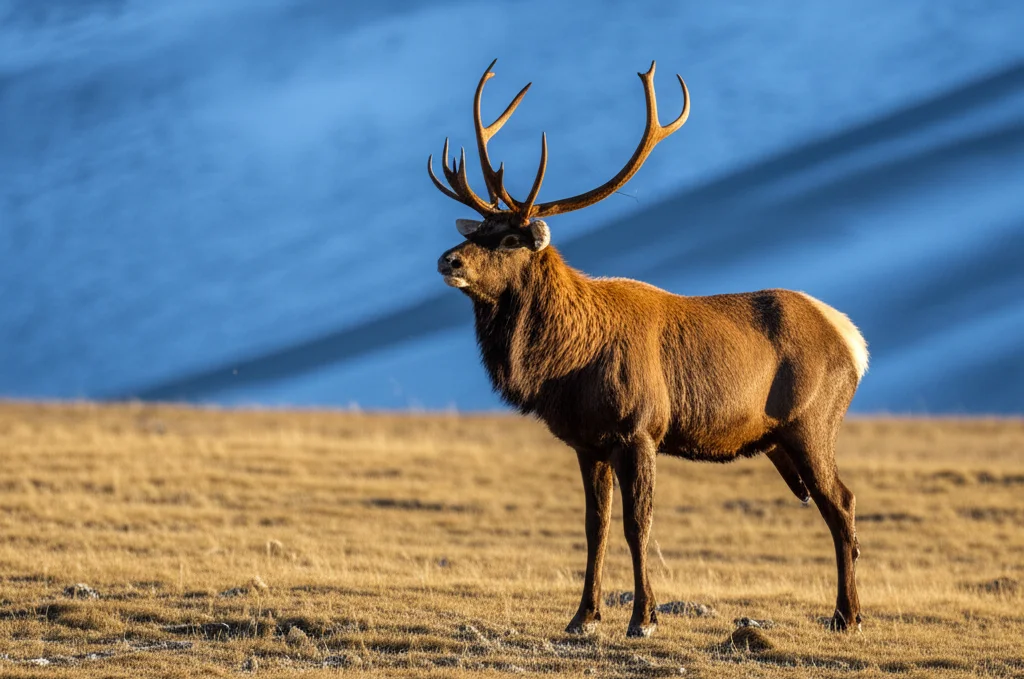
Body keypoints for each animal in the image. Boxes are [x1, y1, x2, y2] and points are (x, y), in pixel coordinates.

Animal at [429, 60, 868, 637]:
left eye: (507, 240)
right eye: (478, 227)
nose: (448, 260)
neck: (564, 364)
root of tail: (855, 341)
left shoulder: (639, 430)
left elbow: (639, 525)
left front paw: (643, 618)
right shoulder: (587, 442)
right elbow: (595, 527)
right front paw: (582, 618)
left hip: (812, 423)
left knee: (841, 502)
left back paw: (847, 614)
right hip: (786, 439)